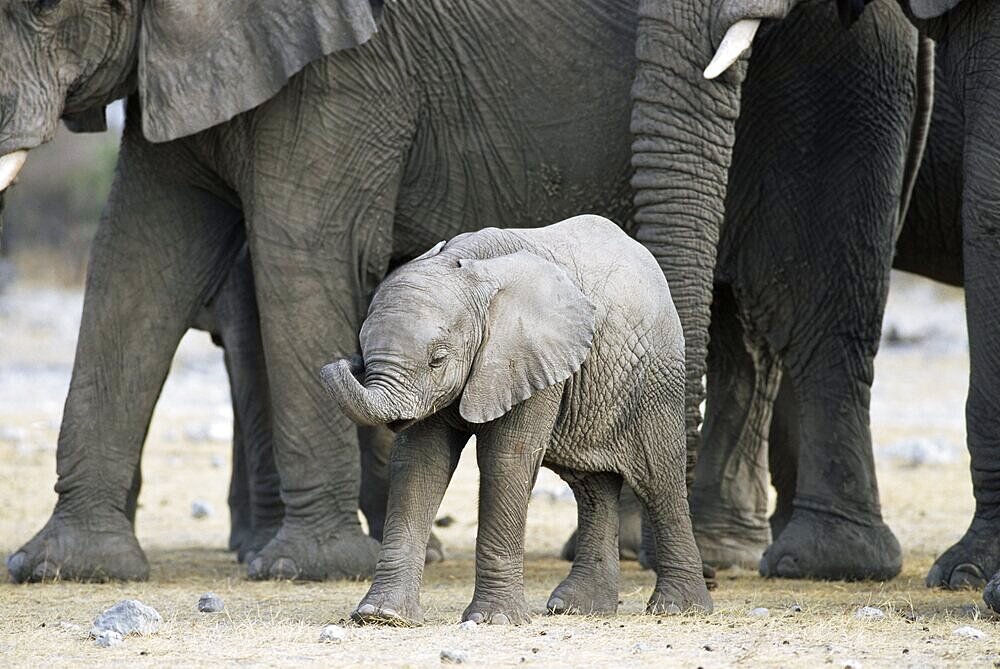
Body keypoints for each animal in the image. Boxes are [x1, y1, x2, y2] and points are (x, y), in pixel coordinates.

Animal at [0, 0, 636, 580]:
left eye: (47, 9)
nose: (345, 360)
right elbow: (137, 257)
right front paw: (65, 566)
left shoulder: (347, 76)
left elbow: (302, 256)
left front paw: (308, 568)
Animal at [322, 217, 712, 624]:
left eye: (437, 360)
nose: (349, 362)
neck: (468, 267)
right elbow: (421, 464)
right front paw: (381, 615)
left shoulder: (531, 357)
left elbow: (506, 460)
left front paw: (492, 620)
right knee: (592, 487)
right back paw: (577, 607)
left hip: (656, 375)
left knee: (659, 479)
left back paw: (678, 608)